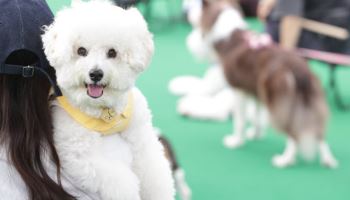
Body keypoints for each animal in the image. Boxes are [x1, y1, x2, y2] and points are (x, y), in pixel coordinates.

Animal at [42, 0, 175, 199]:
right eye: (81, 51)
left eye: (112, 52)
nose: (96, 74)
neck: (104, 111)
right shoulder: (81, 155)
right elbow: (120, 182)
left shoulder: (143, 140)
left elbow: (154, 175)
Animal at [197, 0, 336, 168]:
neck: (230, 39)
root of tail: (298, 69)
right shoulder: (256, 90)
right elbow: (257, 116)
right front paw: (255, 134)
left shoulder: (238, 90)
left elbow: (239, 120)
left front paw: (236, 142)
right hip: (309, 98)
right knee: (318, 131)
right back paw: (328, 160)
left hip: (279, 102)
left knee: (293, 133)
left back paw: (285, 160)